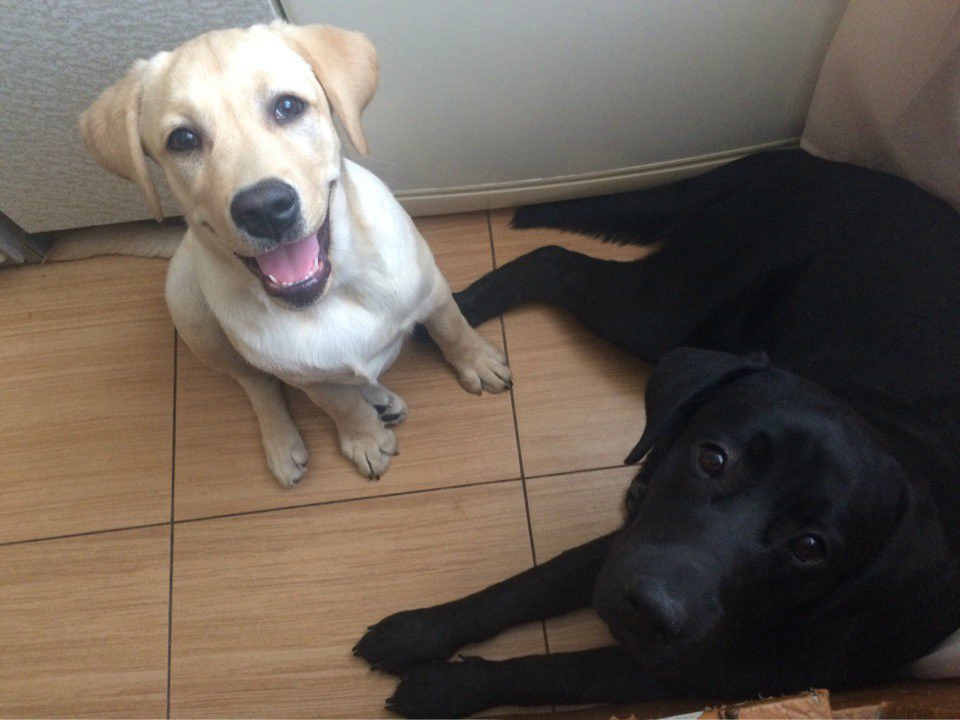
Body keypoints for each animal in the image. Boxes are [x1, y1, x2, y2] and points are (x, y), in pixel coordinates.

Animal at [80, 22, 511, 485]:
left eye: (288, 106)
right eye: (182, 139)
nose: (265, 208)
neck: (333, 293)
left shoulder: (431, 292)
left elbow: (453, 329)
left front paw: (479, 363)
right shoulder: (307, 379)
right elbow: (340, 405)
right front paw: (364, 439)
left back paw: (380, 397)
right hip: (196, 319)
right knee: (255, 383)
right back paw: (284, 443)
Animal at [354, 149, 960, 717]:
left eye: (811, 547)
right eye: (712, 459)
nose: (650, 608)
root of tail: (802, 157)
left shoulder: (687, 665)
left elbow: (548, 672)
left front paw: (446, 685)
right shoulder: (636, 539)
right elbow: (523, 587)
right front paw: (418, 632)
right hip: (671, 309)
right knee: (553, 259)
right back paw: (454, 313)